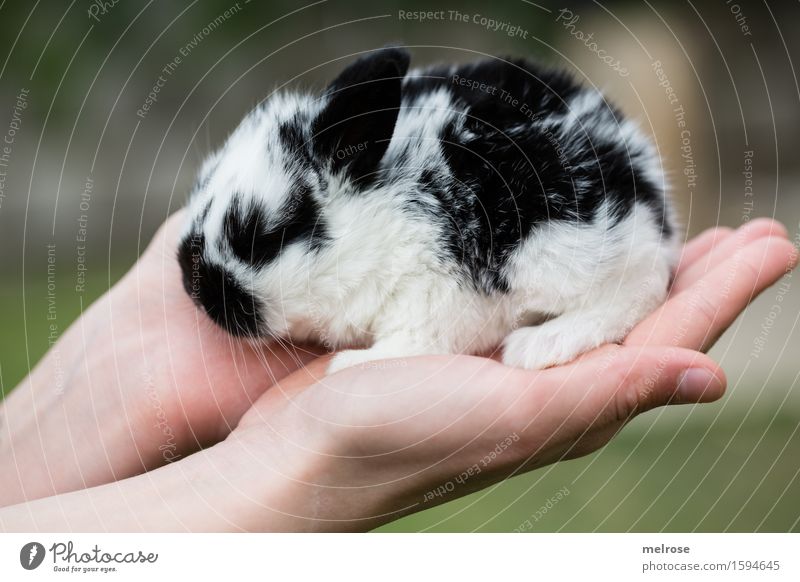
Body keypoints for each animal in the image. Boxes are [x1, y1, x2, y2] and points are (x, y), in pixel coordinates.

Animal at [178, 45, 680, 374]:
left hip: (561, 253)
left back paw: (539, 346)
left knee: (640, 288)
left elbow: (412, 343)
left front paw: (348, 364)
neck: (379, 218)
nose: (191, 283)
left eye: (263, 237)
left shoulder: (430, 301)